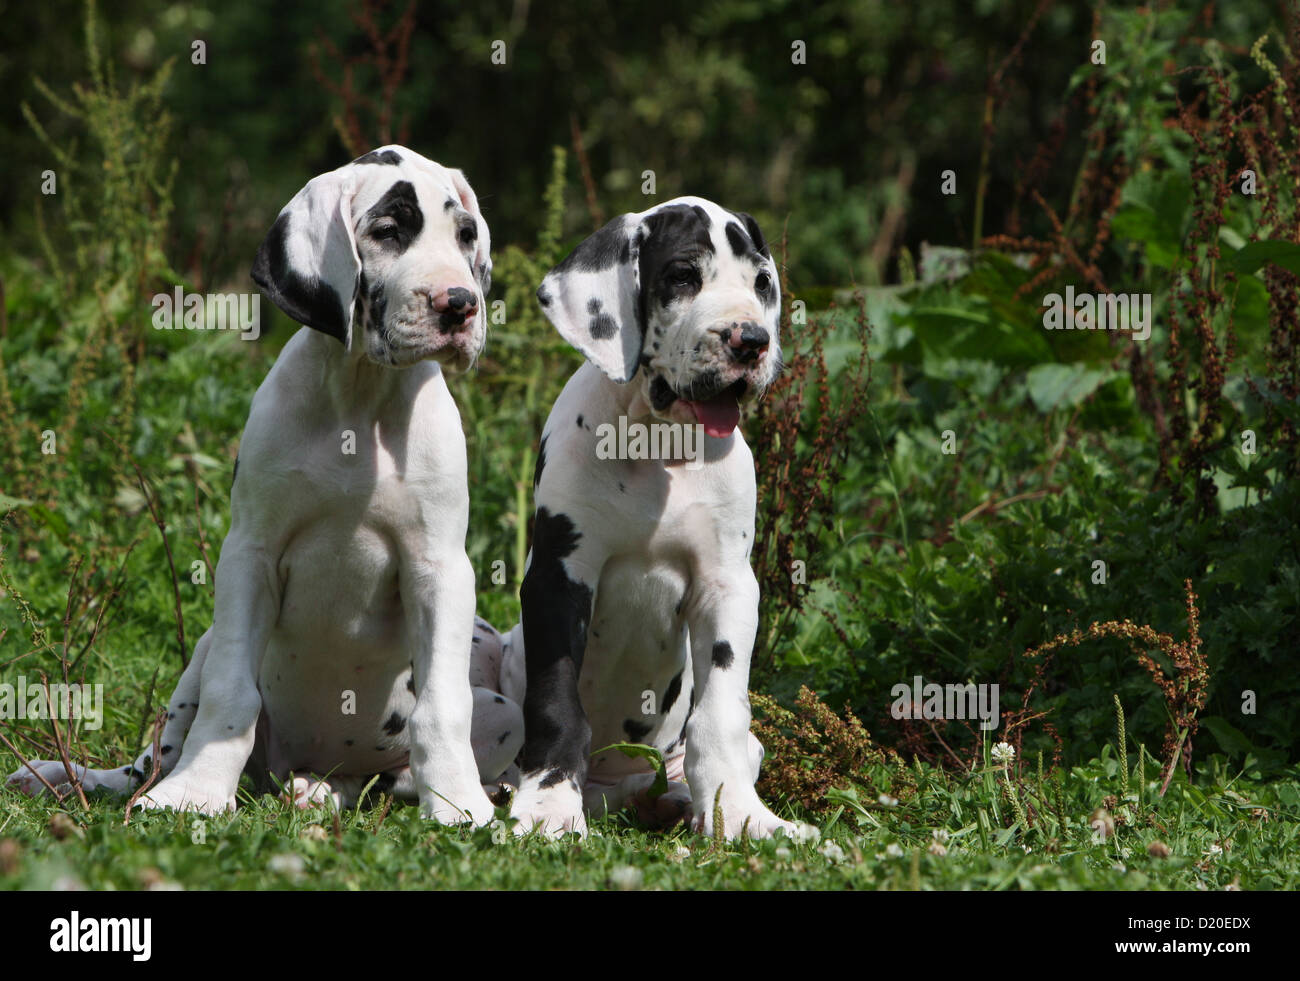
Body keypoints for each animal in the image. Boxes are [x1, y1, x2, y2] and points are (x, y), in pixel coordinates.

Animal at [10, 145, 520, 821]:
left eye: (466, 236)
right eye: (388, 231)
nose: (460, 304)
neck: (358, 404)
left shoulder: (439, 568)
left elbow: (442, 708)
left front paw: (459, 805)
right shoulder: (249, 556)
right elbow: (230, 693)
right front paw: (196, 794)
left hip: (503, 715)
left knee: (385, 777)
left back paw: (333, 791)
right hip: (201, 649)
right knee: (152, 756)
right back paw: (76, 778)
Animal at [488, 196, 795, 841]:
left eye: (761, 282)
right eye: (682, 277)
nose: (751, 340)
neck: (659, 446)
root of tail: (610, 794)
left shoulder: (728, 586)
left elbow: (721, 713)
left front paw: (741, 815)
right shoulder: (560, 578)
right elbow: (556, 704)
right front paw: (548, 808)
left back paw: (673, 802)